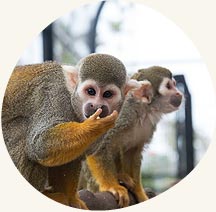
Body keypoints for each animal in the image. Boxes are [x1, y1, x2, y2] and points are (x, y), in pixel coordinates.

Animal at [1, 53, 137, 210]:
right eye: (91, 91)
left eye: (107, 94)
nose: (96, 106)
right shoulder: (54, 96)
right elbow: (40, 144)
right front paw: (94, 126)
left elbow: (74, 155)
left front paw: (71, 199)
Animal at [84, 66, 182, 207]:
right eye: (169, 86)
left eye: (174, 84)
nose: (179, 93)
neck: (140, 110)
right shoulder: (120, 115)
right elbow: (96, 144)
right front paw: (111, 186)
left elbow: (134, 151)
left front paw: (139, 191)